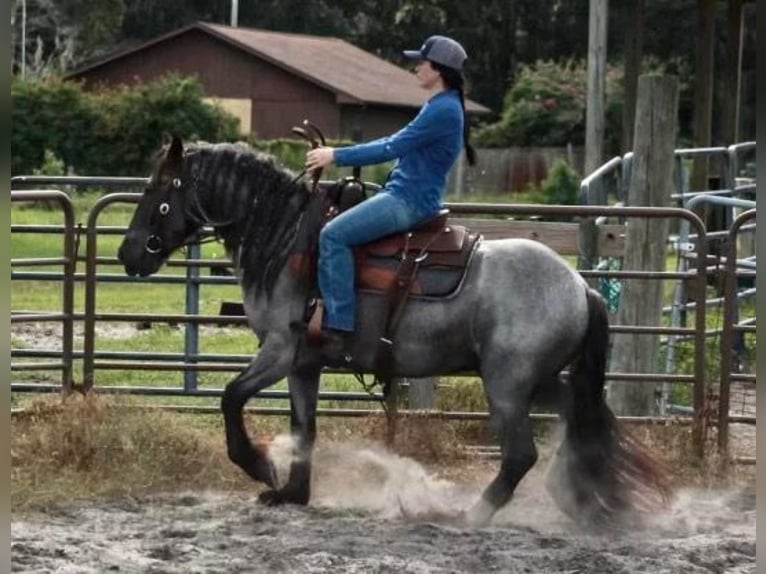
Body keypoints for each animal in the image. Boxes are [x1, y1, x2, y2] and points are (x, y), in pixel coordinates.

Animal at [117, 137, 668, 528]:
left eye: (157, 193)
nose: (128, 253)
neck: (287, 238)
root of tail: (581, 286)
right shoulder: (303, 364)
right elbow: (304, 429)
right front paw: (292, 493)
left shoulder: (279, 350)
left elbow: (231, 398)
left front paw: (258, 466)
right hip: (539, 380)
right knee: (577, 414)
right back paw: (580, 498)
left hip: (507, 384)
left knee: (520, 455)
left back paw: (469, 515)